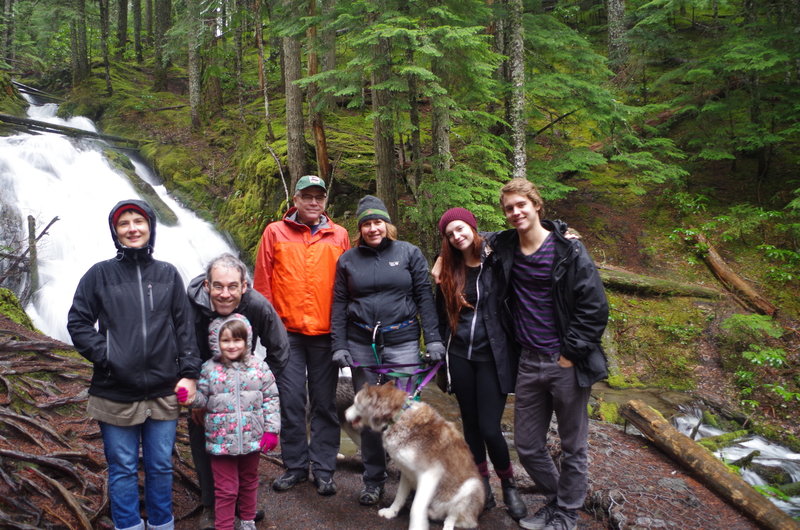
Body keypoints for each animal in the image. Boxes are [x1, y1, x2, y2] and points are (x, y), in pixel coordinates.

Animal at [344, 382, 482, 524]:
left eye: (355, 402)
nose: (344, 413)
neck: (398, 417)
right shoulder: (407, 471)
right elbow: (399, 496)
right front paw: (391, 512)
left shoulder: (431, 473)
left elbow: (417, 506)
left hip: (471, 485)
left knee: (454, 516)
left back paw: (449, 523)